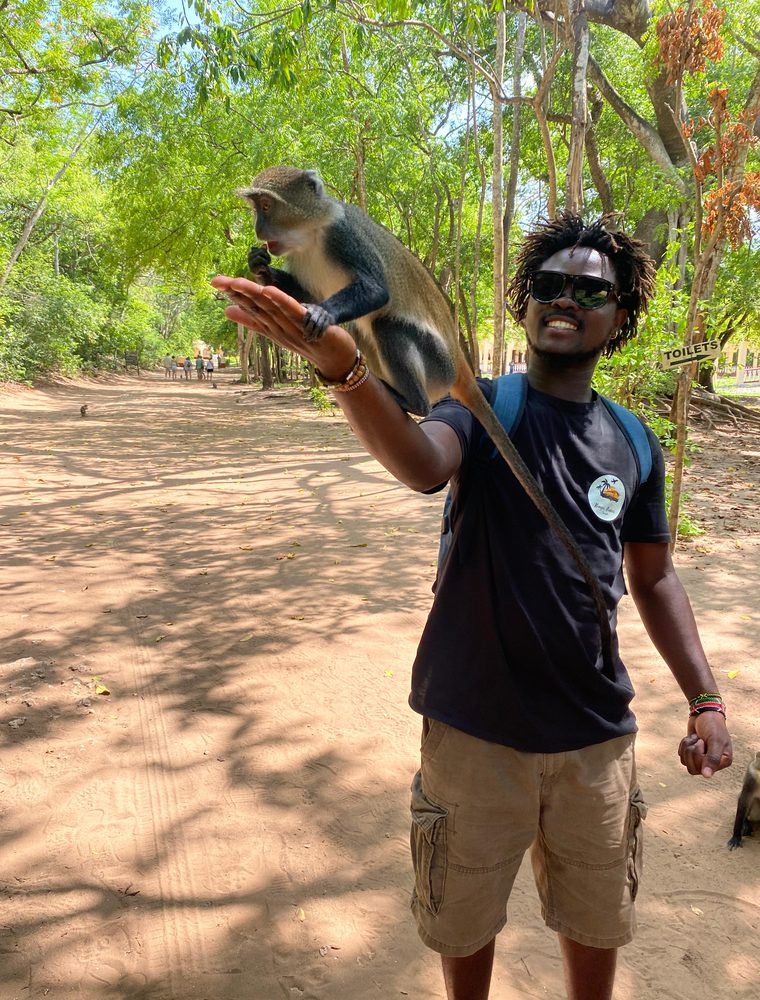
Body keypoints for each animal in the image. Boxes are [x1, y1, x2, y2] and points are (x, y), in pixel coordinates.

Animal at [235, 166, 614, 671]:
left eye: (267, 206)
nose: (259, 231)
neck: (312, 234)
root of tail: (459, 365)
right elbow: (304, 288)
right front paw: (260, 266)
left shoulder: (345, 238)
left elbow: (376, 291)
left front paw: (321, 312)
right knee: (364, 329)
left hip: (431, 360)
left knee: (387, 323)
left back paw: (407, 397)